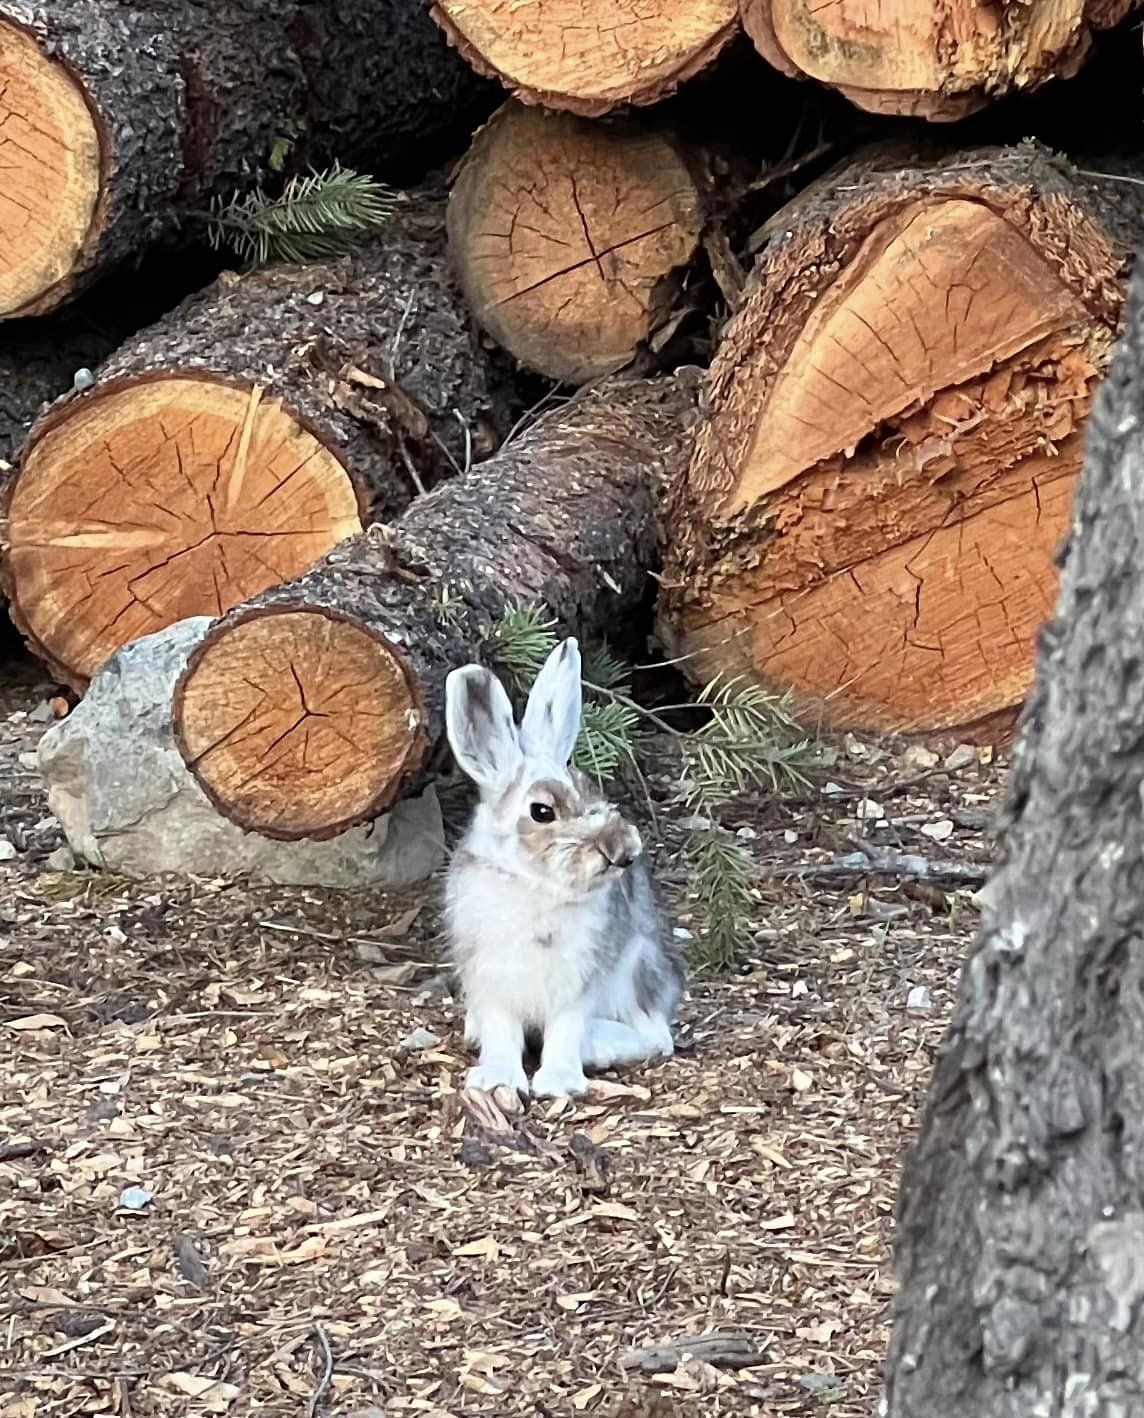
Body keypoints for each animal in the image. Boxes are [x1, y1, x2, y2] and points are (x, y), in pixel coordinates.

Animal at [443, 636, 683, 1099]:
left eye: (594, 790)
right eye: (542, 812)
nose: (622, 851)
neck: (536, 886)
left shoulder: (579, 986)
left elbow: (566, 1031)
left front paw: (557, 1082)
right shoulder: (490, 983)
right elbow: (501, 1031)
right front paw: (498, 1078)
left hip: (635, 972)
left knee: (656, 1037)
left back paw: (599, 1048)